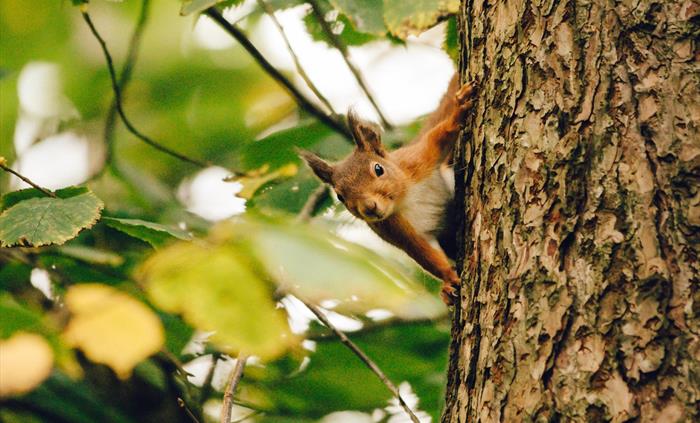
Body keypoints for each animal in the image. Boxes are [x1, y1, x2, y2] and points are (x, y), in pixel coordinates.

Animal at [299, 75, 476, 304]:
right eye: (340, 196)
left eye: (378, 168)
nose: (369, 207)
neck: (405, 198)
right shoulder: (396, 230)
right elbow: (425, 254)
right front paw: (448, 280)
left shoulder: (418, 160)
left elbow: (439, 136)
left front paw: (459, 110)